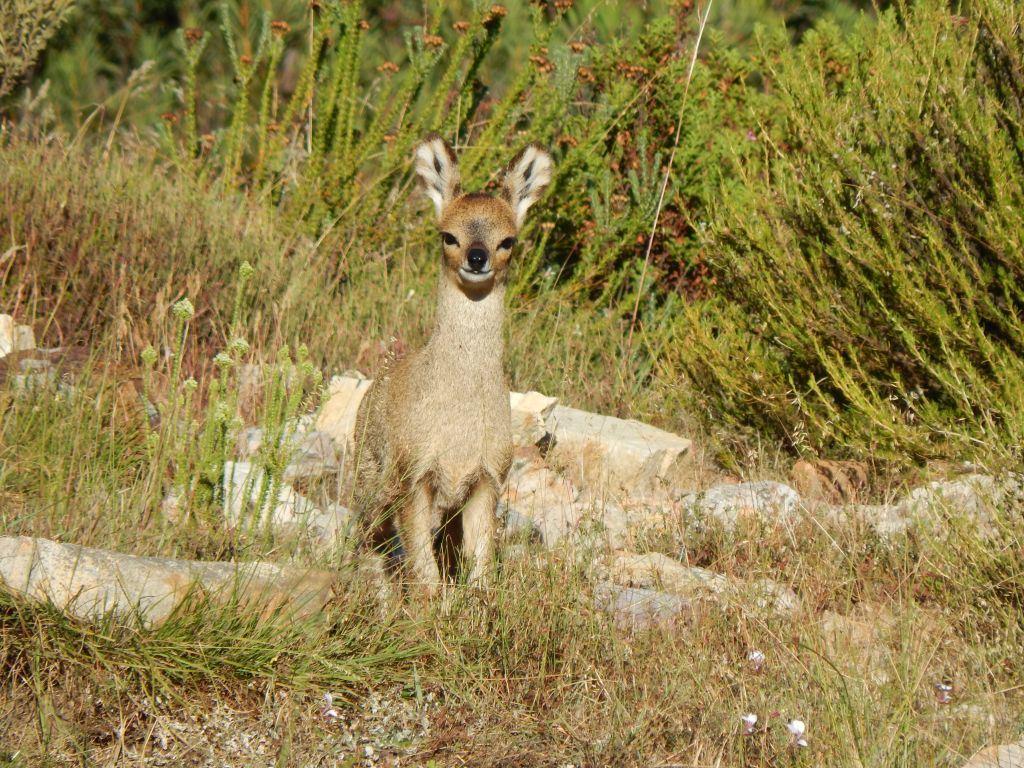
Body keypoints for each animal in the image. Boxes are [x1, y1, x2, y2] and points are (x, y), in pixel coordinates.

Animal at [352, 134, 553, 597]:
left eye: (508, 240)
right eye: (448, 234)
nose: (477, 257)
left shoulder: (486, 481)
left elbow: (480, 569)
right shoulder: (414, 478)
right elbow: (425, 576)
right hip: (370, 486)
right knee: (371, 545)